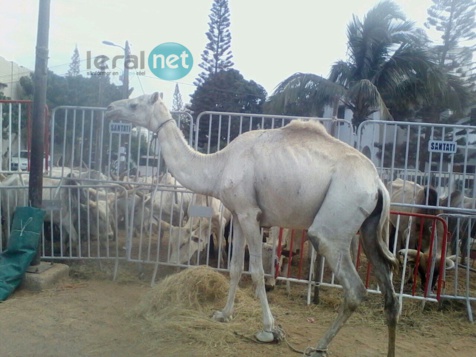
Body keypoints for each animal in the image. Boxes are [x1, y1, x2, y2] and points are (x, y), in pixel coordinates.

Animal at [106, 92, 400, 356]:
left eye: (134, 104)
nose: (110, 107)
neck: (219, 165)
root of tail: (378, 184)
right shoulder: (237, 215)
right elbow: (235, 267)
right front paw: (223, 314)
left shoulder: (250, 214)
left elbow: (257, 271)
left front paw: (269, 330)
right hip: (370, 228)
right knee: (389, 292)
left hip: (334, 222)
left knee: (355, 288)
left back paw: (318, 347)